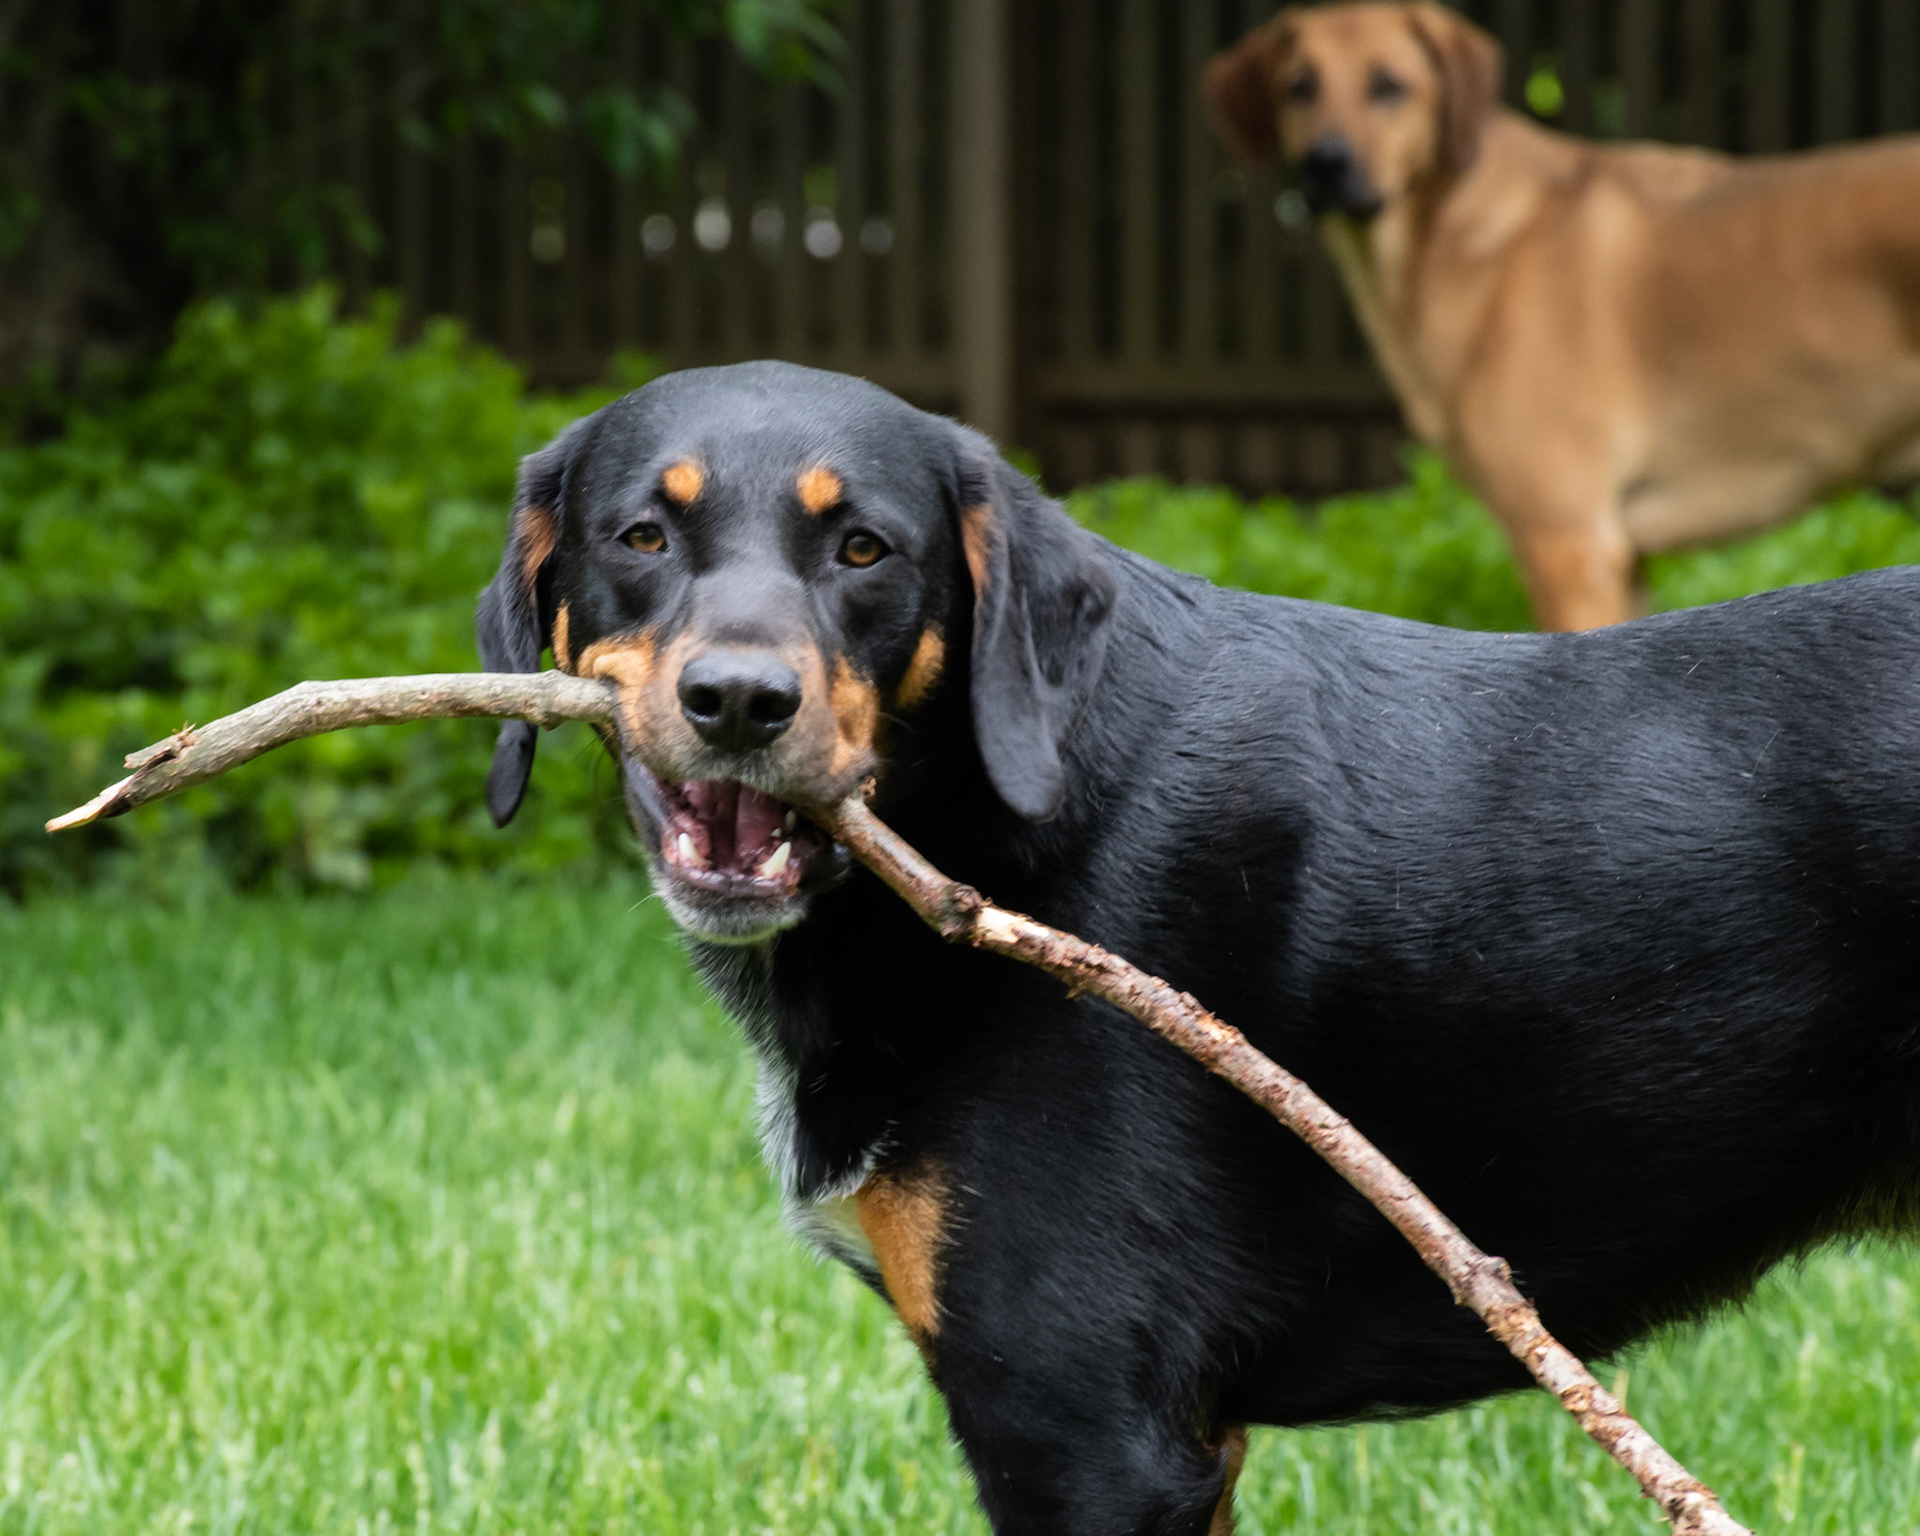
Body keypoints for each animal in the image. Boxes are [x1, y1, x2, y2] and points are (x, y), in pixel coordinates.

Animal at [1203, 2, 1920, 632]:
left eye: (1389, 86)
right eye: (1299, 88)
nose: (1325, 164)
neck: (1450, 235)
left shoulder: (1570, 546)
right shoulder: (1624, 562)